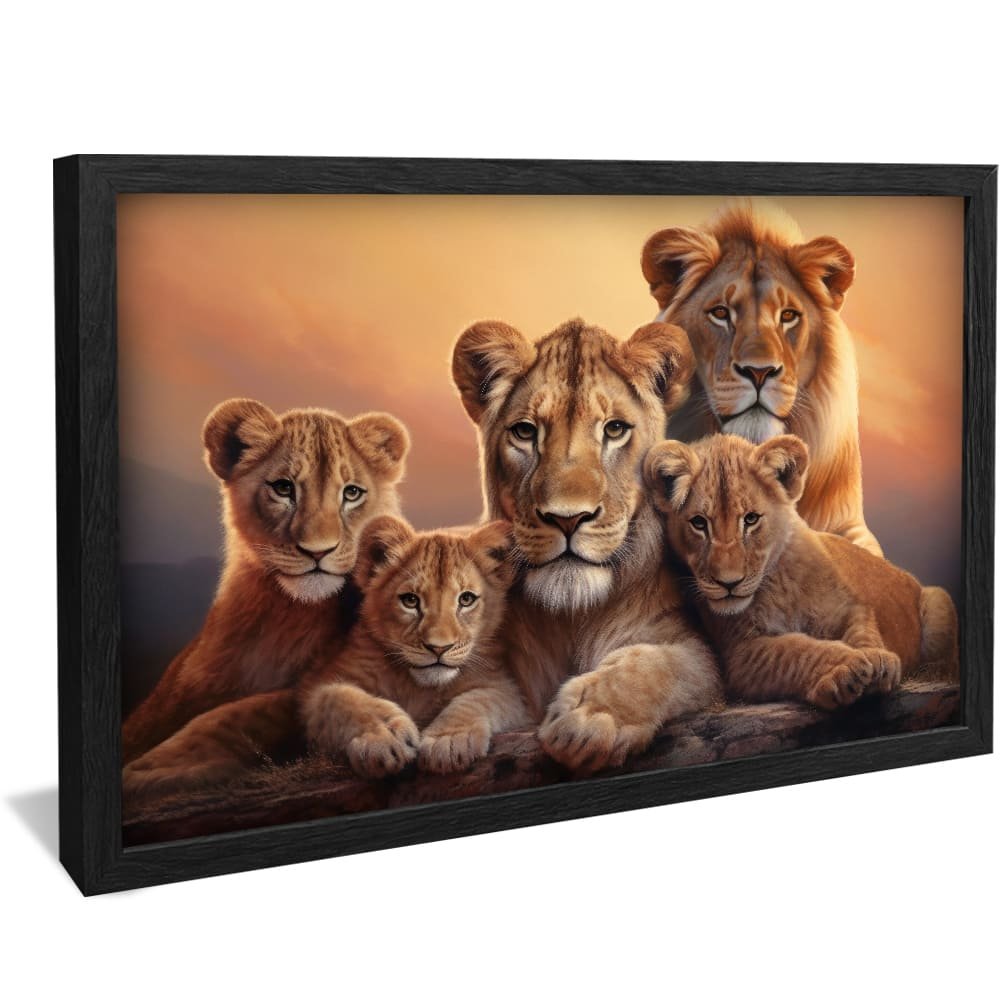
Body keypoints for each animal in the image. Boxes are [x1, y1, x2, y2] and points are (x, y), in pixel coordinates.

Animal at [299, 517, 529, 777]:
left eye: (466, 599)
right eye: (410, 601)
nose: (438, 648)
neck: (417, 687)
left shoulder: (507, 689)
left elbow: (480, 698)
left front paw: (448, 742)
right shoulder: (316, 686)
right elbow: (344, 699)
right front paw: (385, 737)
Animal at [452, 317, 722, 772]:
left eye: (614, 429)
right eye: (525, 432)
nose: (567, 518)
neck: (572, 618)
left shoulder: (696, 650)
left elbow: (660, 663)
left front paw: (590, 718)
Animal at [643, 433, 958, 709]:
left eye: (751, 519)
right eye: (699, 523)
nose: (728, 583)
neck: (776, 584)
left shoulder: (849, 607)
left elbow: (863, 631)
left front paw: (878, 659)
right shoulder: (740, 655)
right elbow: (797, 650)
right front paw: (847, 668)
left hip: (939, 600)